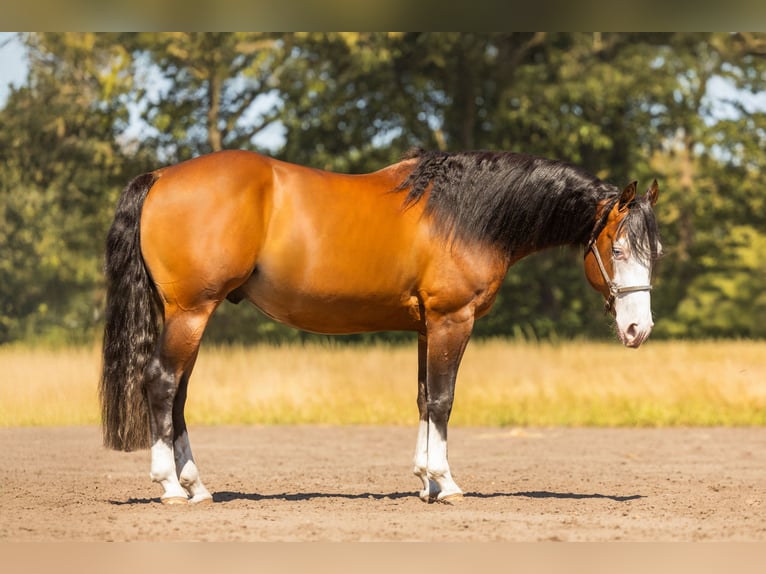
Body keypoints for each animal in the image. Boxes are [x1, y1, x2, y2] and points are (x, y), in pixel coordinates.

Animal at [100, 148, 661, 504]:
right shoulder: (452, 320)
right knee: (162, 384)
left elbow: (423, 398)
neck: (466, 214)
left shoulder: (426, 326)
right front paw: (445, 483)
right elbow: (443, 400)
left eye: (654, 251)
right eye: (616, 249)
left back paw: (197, 486)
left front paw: (424, 481)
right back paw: (171, 488)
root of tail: (160, 177)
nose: (639, 330)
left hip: (190, 315)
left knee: (178, 394)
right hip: (192, 311)